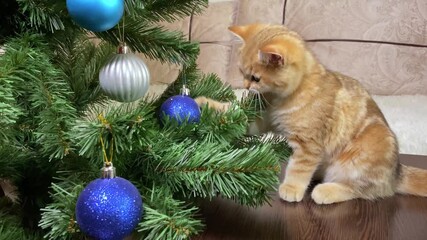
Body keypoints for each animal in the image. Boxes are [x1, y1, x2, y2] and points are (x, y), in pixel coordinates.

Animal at [196, 23, 427, 204]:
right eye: (242, 73)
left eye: (255, 78)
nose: (245, 87)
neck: (280, 99)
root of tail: (396, 172)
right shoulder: (259, 120)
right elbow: (234, 113)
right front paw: (205, 103)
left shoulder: (308, 145)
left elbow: (298, 169)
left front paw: (291, 188)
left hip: (363, 152)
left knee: (364, 190)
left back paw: (326, 191)